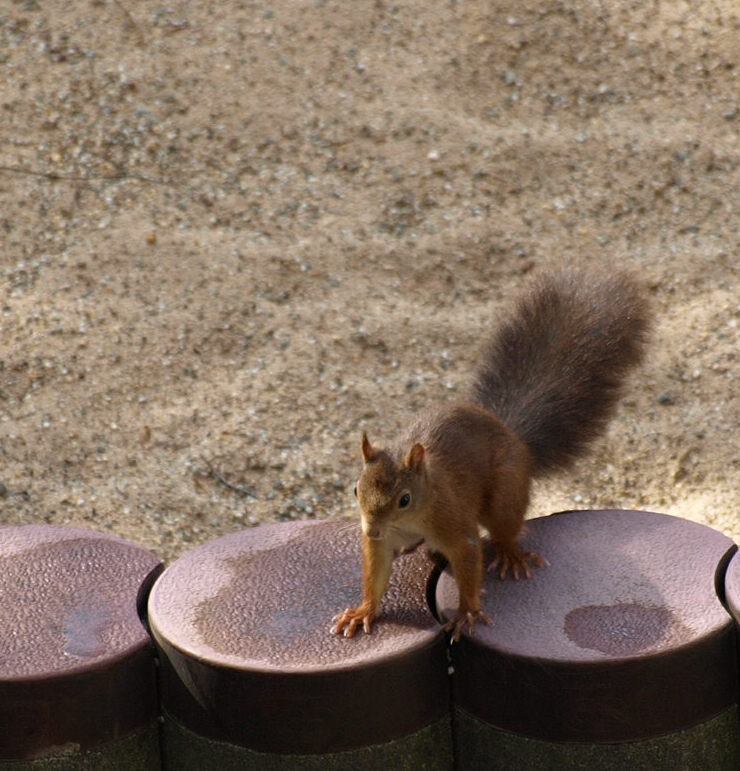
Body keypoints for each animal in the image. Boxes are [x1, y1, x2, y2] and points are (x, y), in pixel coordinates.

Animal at [332, 268, 652, 644]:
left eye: (404, 499)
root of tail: (514, 436)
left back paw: (509, 553)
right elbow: (376, 575)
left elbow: (469, 560)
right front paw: (363, 611)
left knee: (504, 529)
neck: (410, 519)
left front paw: (467, 613)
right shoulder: (382, 545)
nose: (371, 530)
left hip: (505, 492)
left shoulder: (454, 524)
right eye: (356, 489)